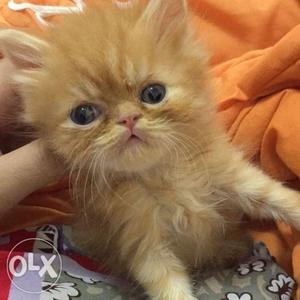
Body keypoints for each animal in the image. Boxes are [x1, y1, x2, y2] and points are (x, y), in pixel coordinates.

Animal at [0, 0, 300, 300]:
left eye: (153, 93)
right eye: (83, 115)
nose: (128, 118)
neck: (162, 174)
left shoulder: (230, 173)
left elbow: (275, 196)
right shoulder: (142, 238)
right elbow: (169, 287)